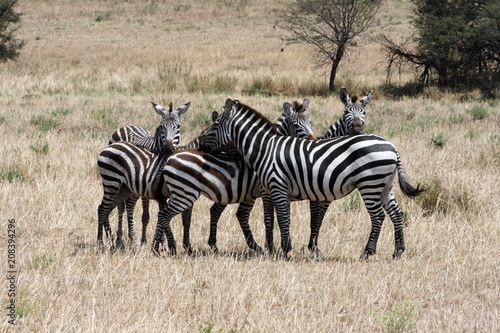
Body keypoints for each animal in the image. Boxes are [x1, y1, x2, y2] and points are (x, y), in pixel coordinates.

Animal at [97, 100, 189, 246]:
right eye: (162, 127)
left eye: (178, 126)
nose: (169, 148)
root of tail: (129, 126)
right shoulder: (146, 184)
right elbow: (146, 215)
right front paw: (145, 241)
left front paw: (162, 242)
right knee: (122, 207)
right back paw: (120, 238)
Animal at [153, 97, 316, 253]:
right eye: (296, 125)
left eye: (310, 122)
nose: (313, 141)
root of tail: (169, 157)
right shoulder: (266, 191)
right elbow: (269, 218)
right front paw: (272, 247)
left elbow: (284, 217)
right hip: (190, 192)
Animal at [197, 98, 424, 260]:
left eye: (215, 124)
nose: (201, 145)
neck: (264, 148)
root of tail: (392, 147)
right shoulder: (275, 191)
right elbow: (279, 219)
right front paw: (280, 248)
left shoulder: (277, 186)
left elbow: (282, 219)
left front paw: (284, 250)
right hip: (385, 185)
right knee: (396, 213)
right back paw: (398, 251)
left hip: (370, 184)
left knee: (378, 216)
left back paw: (367, 252)